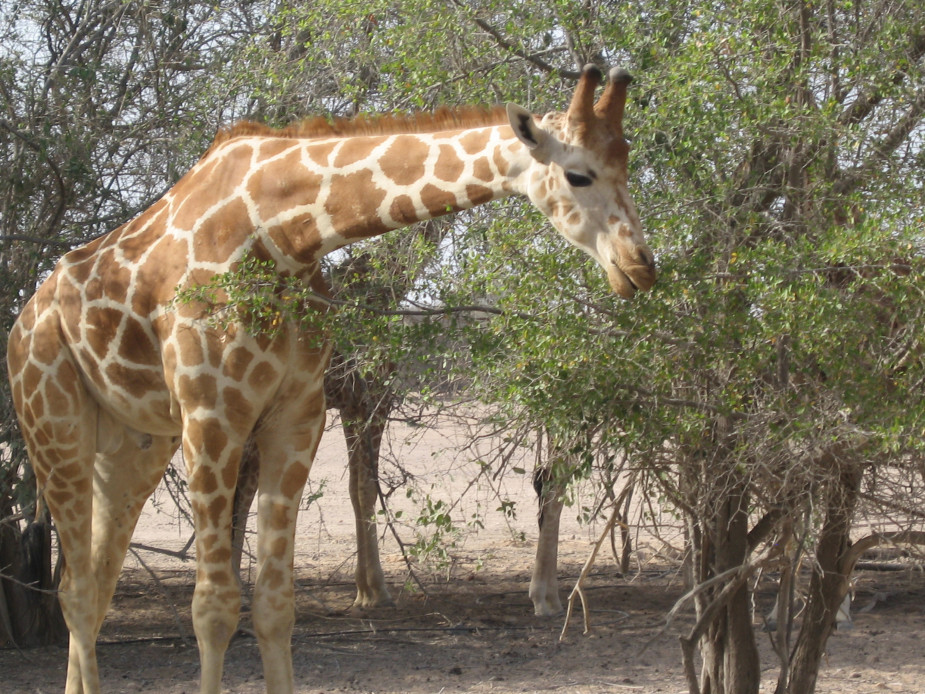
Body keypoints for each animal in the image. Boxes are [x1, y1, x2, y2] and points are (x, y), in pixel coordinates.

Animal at [9, 62, 656, 692]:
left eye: (627, 162)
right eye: (578, 175)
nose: (641, 267)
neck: (285, 234)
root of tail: (21, 323)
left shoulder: (298, 414)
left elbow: (275, 603)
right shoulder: (212, 415)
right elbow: (213, 607)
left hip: (133, 443)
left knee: (96, 583)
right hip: (54, 430)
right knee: (75, 588)